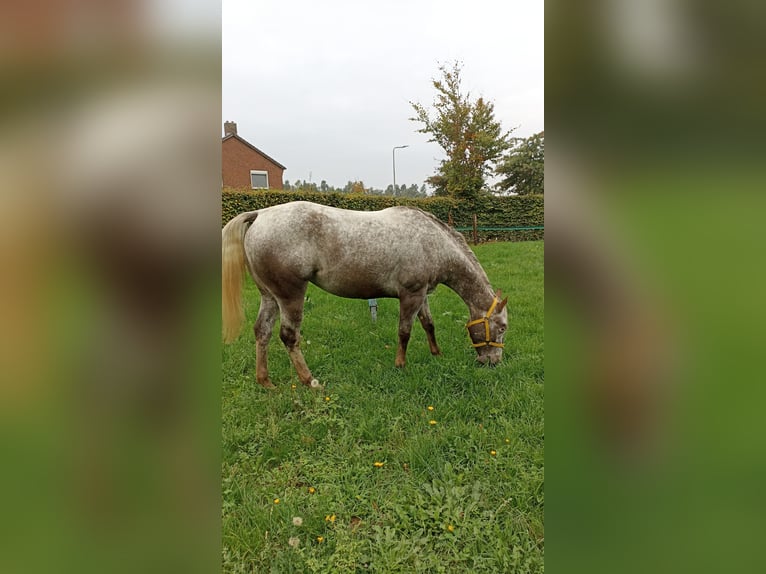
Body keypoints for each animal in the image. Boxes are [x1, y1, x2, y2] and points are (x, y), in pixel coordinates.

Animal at [222, 201, 508, 389]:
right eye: (503, 327)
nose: (493, 362)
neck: (432, 242)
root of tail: (260, 214)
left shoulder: (422, 295)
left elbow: (428, 324)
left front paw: (437, 354)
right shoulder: (411, 295)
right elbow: (405, 332)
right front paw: (400, 365)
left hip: (269, 296)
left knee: (263, 332)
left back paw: (265, 381)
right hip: (290, 295)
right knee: (289, 336)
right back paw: (309, 381)